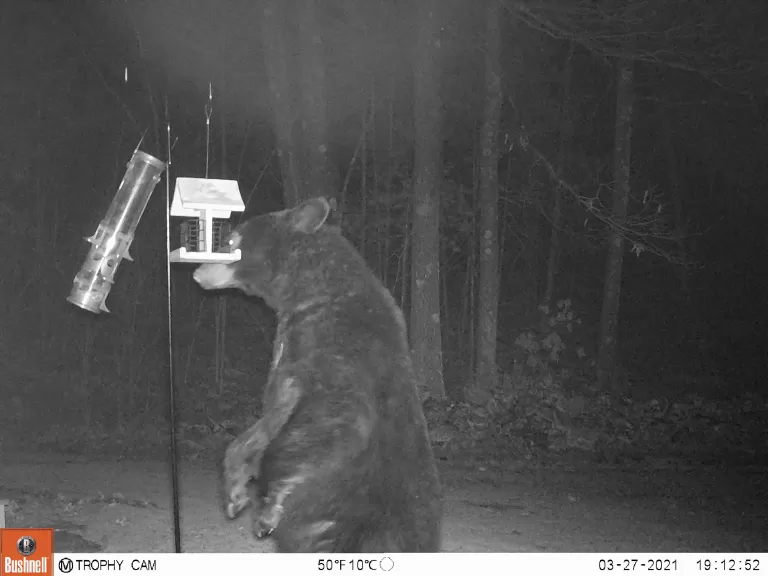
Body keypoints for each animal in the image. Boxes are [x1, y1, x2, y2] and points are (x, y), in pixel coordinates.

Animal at [193, 196, 443, 553]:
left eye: (230, 241)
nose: (198, 271)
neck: (311, 291)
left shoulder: (342, 358)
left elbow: (335, 428)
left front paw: (270, 509)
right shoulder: (289, 362)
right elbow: (262, 426)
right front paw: (235, 493)